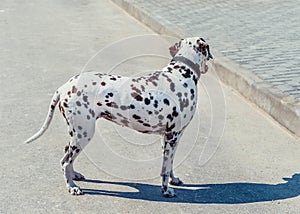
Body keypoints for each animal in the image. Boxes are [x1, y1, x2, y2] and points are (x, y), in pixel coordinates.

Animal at [25, 36, 213, 197]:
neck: (181, 73)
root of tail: (64, 87)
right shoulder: (172, 136)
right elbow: (165, 170)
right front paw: (166, 190)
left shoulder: (171, 137)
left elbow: (170, 164)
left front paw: (173, 180)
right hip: (84, 134)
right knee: (65, 161)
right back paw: (72, 187)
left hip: (76, 134)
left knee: (66, 158)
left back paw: (74, 176)